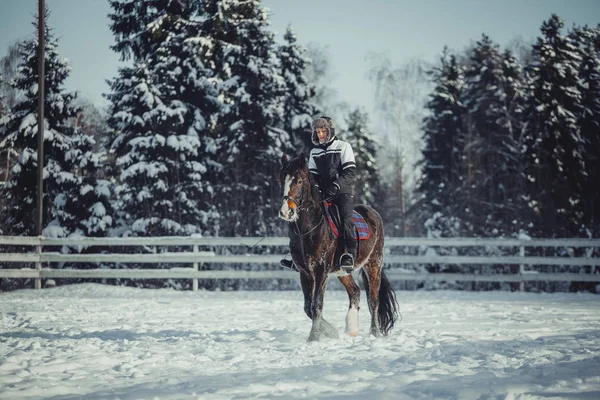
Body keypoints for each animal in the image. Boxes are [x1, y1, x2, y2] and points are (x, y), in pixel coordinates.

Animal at [280, 153, 398, 340]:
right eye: (281, 179)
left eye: (298, 181)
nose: (286, 212)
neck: (308, 228)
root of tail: (373, 214)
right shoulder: (304, 272)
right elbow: (308, 306)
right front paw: (331, 331)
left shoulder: (320, 271)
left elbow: (316, 305)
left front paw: (314, 337)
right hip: (343, 271)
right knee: (355, 292)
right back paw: (351, 329)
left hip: (373, 264)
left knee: (373, 301)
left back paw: (374, 333)